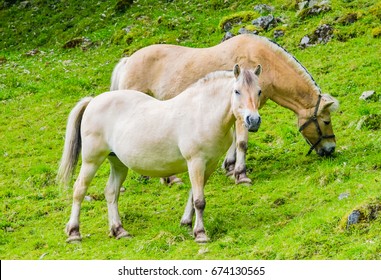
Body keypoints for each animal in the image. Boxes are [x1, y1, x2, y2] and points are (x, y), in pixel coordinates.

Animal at [58, 65, 262, 243]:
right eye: (237, 91)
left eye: (259, 91)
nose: (253, 121)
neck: (203, 113)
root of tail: (93, 101)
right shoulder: (195, 162)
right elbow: (199, 200)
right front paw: (200, 234)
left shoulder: (208, 165)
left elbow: (193, 195)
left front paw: (186, 223)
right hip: (91, 161)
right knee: (79, 189)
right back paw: (74, 232)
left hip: (118, 163)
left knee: (111, 192)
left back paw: (119, 230)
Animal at [110, 33, 338, 186]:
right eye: (326, 121)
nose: (331, 149)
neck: (260, 60)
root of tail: (127, 62)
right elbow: (242, 142)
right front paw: (241, 174)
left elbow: (235, 140)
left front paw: (229, 167)